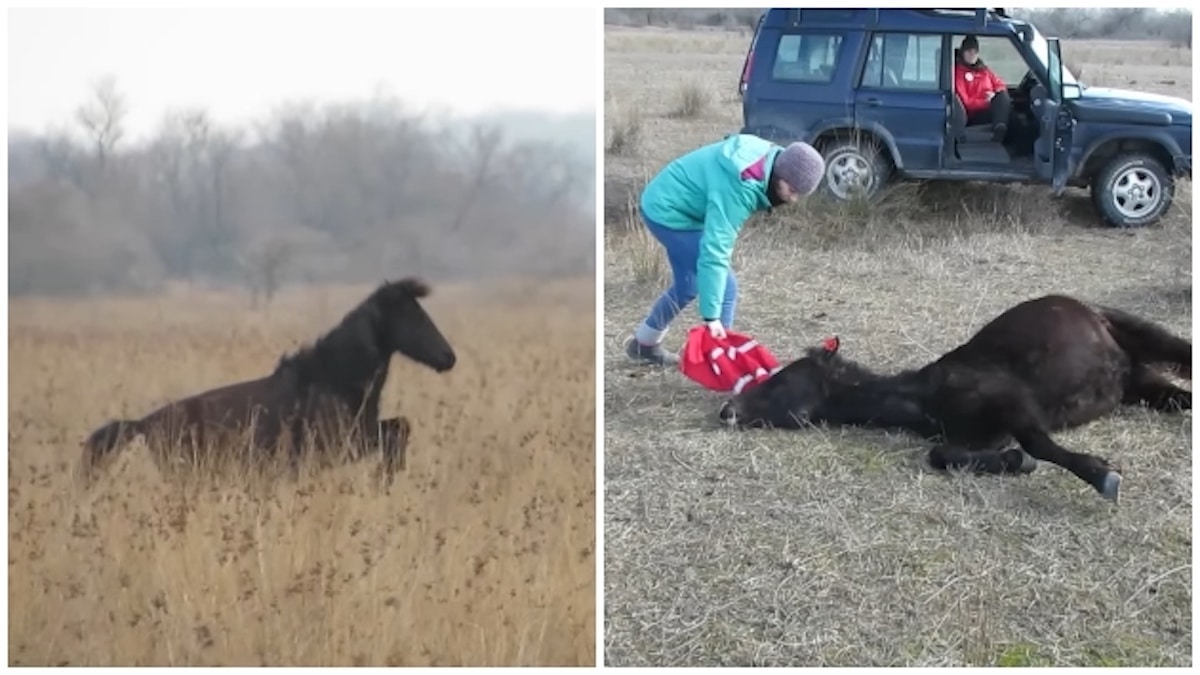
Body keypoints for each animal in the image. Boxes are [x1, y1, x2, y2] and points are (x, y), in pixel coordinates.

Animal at [79, 276, 453, 485]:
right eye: (413, 316)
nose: (449, 358)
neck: (333, 378)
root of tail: (143, 423)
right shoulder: (343, 444)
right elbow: (398, 430)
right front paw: (386, 476)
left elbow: (400, 426)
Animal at [710, 291, 1190, 502]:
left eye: (780, 381)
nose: (727, 411)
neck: (925, 397)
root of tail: (1085, 306)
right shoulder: (978, 435)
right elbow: (942, 455)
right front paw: (1014, 463)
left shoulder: (1016, 404)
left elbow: (1040, 443)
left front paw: (1102, 476)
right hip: (1137, 382)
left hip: (1146, 342)